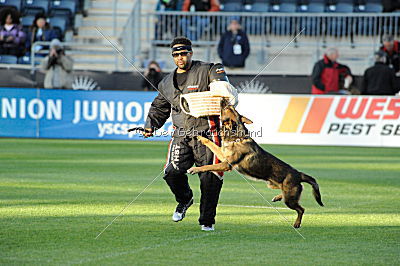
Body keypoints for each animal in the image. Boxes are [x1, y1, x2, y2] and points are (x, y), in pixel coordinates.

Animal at [188, 98, 324, 228]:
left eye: (227, 107)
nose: (223, 99)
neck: (237, 137)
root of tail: (298, 174)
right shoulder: (222, 155)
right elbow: (210, 143)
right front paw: (200, 137)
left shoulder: (226, 164)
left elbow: (207, 166)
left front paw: (194, 169)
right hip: (274, 186)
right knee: (288, 195)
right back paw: (277, 197)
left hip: (289, 199)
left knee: (301, 209)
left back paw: (297, 223)